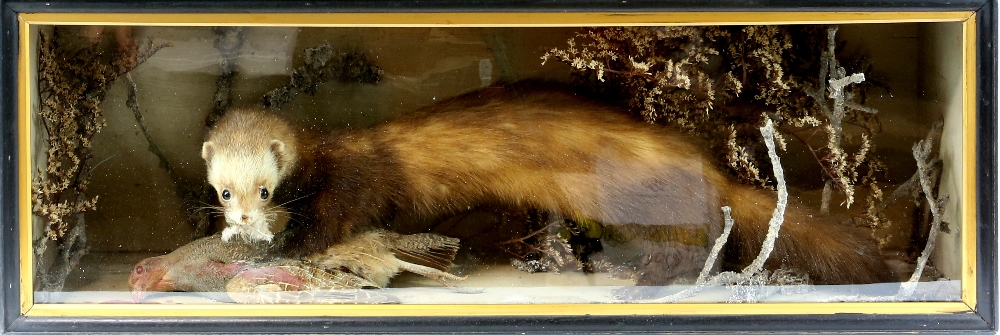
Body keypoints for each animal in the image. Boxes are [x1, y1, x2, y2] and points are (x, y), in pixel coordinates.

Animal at [199, 82, 896, 284]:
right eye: (223, 190)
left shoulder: (355, 185)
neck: (333, 152)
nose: (241, 219)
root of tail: (705, 169)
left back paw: (647, 274)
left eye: (263, 188)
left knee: (692, 246)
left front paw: (289, 246)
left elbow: (337, 221)